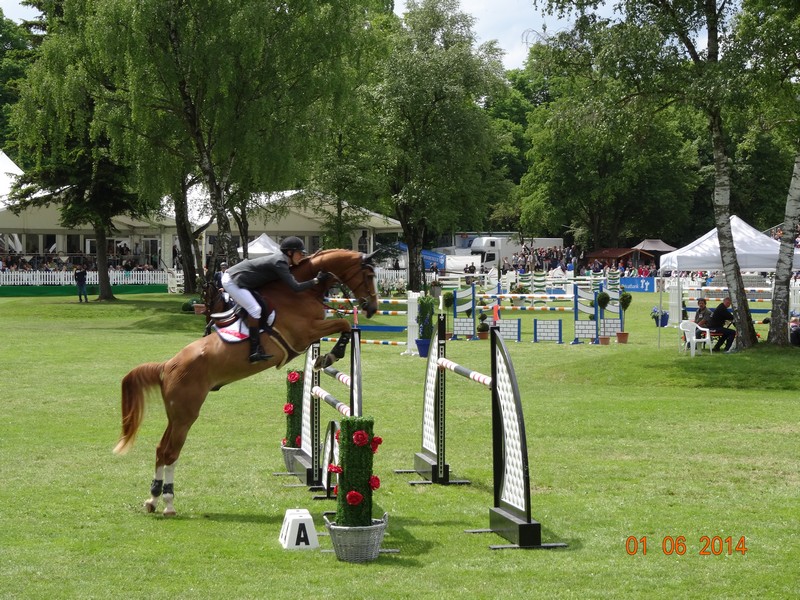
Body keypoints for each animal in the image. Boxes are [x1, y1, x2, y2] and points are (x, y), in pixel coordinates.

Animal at [112, 248, 378, 516]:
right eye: (368, 275)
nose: (372, 308)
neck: (299, 293)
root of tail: (167, 366)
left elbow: (342, 325)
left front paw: (325, 356)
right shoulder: (305, 333)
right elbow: (343, 324)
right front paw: (330, 356)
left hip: (175, 415)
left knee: (160, 450)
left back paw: (153, 499)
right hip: (185, 415)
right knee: (170, 452)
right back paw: (168, 502)